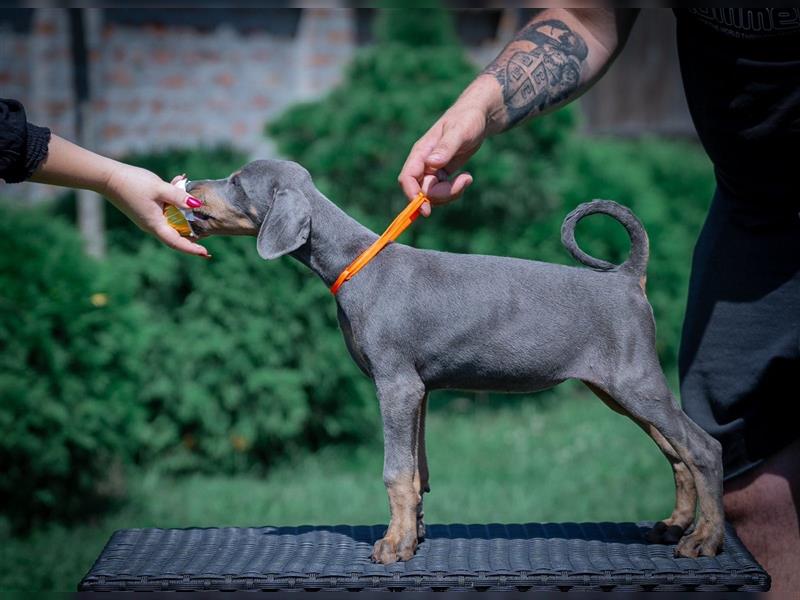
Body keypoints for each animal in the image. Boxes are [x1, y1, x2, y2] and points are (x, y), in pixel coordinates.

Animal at [186, 158, 724, 564]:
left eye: (236, 181)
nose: (189, 185)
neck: (354, 262)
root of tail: (628, 277)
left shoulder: (395, 385)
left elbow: (395, 470)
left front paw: (393, 545)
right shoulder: (420, 389)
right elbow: (416, 472)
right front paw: (413, 536)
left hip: (636, 382)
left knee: (703, 448)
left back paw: (704, 539)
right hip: (618, 389)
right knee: (677, 453)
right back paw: (673, 526)